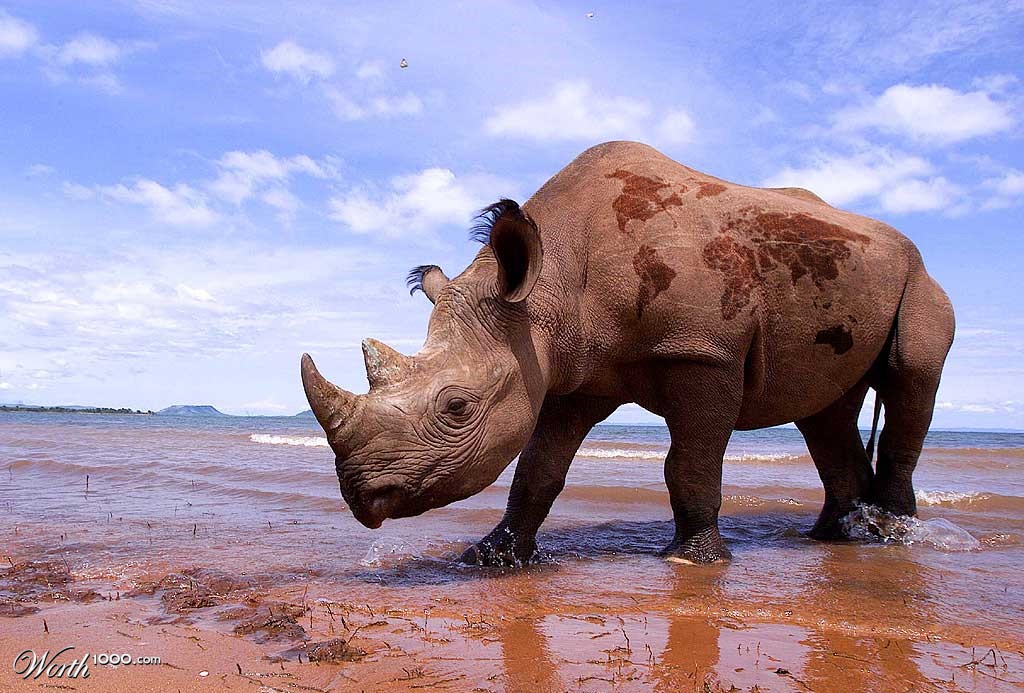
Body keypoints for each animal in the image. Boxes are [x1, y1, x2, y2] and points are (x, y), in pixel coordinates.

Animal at [301, 141, 955, 566]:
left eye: (457, 407)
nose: (360, 496)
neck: (549, 286)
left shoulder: (703, 352)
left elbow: (690, 462)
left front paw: (696, 560)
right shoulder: (570, 370)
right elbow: (538, 468)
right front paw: (492, 557)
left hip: (920, 279)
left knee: (910, 378)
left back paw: (893, 536)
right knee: (824, 409)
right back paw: (837, 539)